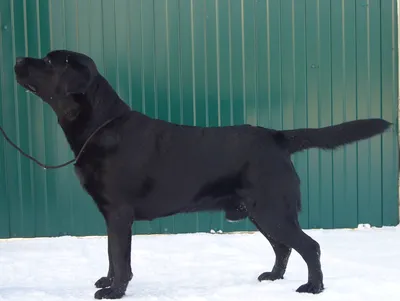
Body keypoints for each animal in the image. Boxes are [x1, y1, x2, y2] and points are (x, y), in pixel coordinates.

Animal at [14, 49, 390, 298]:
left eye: (48, 62)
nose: (17, 61)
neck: (101, 125)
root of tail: (277, 136)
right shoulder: (110, 216)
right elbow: (110, 254)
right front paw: (108, 282)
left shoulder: (119, 213)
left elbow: (120, 257)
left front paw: (115, 290)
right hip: (260, 212)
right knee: (283, 247)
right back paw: (273, 277)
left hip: (271, 209)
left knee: (309, 246)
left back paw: (313, 286)